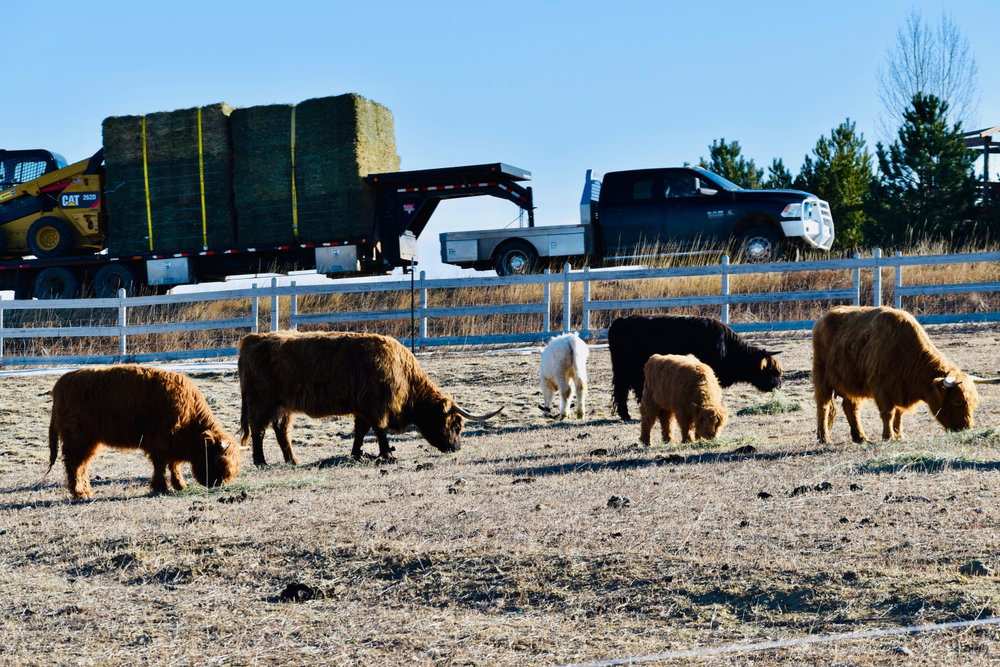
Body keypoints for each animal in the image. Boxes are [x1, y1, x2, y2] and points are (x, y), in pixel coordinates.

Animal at [47, 365, 241, 499]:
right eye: (219, 460)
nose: (218, 483)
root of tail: (62, 382)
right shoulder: (160, 442)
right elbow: (161, 465)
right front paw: (161, 487)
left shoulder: (172, 443)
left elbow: (174, 465)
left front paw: (179, 485)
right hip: (78, 439)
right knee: (74, 464)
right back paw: (80, 492)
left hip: (87, 441)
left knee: (82, 465)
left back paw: (86, 490)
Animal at [238, 330, 503, 465]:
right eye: (455, 425)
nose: (456, 448)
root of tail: (252, 339)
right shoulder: (377, 407)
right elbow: (380, 430)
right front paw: (387, 455)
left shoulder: (363, 409)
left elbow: (360, 431)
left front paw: (358, 453)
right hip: (261, 401)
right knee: (259, 430)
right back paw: (261, 461)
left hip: (283, 406)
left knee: (281, 431)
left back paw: (292, 460)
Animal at [608, 315, 782, 420]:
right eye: (772, 371)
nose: (778, 385)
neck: (727, 349)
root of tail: (620, 321)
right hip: (624, 370)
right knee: (622, 390)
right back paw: (626, 414)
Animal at [813, 305, 998, 443]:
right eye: (958, 401)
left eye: (973, 403)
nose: (966, 428)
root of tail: (824, 317)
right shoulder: (882, 389)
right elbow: (888, 413)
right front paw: (888, 436)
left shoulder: (899, 389)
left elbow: (899, 414)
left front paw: (899, 435)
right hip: (822, 378)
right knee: (823, 406)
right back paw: (825, 438)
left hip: (852, 383)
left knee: (850, 407)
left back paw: (861, 437)